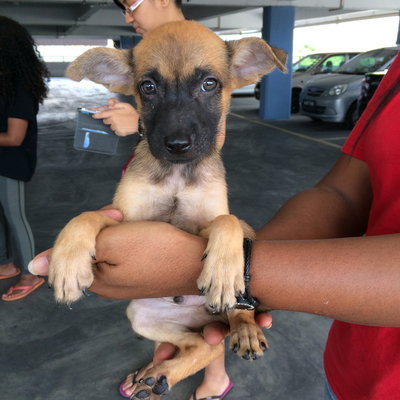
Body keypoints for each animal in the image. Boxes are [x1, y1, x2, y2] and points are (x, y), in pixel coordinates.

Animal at [49, 20, 288, 398]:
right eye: (147, 87)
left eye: (210, 84)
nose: (177, 145)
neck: (177, 174)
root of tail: (205, 318)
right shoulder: (124, 216)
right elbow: (87, 216)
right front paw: (68, 262)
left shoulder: (207, 220)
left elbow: (227, 220)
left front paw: (223, 271)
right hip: (141, 313)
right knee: (204, 345)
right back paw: (158, 376)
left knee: (229, 321)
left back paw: (244, 328)